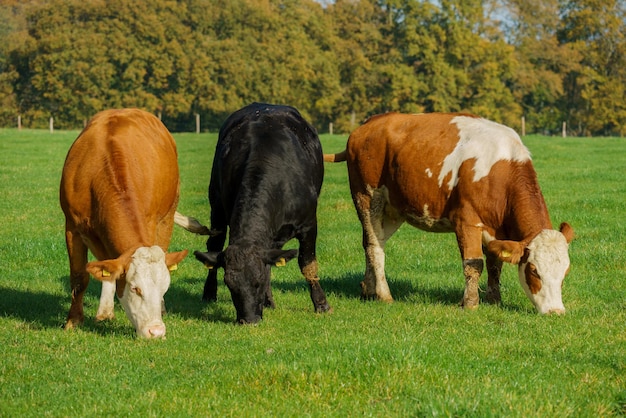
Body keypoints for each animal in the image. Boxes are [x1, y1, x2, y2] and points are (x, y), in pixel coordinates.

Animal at [60, 108, 188, 336]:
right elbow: (80, 277)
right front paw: (73, 321)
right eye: (136, 288)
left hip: (168, 215)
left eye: (164, 287)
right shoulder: (72, 228)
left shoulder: (151, 222)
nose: (156, 331)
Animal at [190, 102, 332, 324]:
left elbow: (307, 264)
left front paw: (321, 304)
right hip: (217, 208)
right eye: (229, 285)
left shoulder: (309, 224)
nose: (248, 320)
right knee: (214, 246)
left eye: (258, 282)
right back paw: (211, 292)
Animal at [324, 111, 572, 314]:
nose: (555, 311)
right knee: (375, 247)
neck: (500, 172)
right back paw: (384, 294)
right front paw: (470, 303)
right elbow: (474, 264)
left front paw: (494, 300)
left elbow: (495, 263)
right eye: (534, 271)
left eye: (565, 273)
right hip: (367, 198)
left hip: (393, 209)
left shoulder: (497, 230)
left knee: (372, 242)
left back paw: (368, 290)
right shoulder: (466, 221)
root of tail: (368, 124)